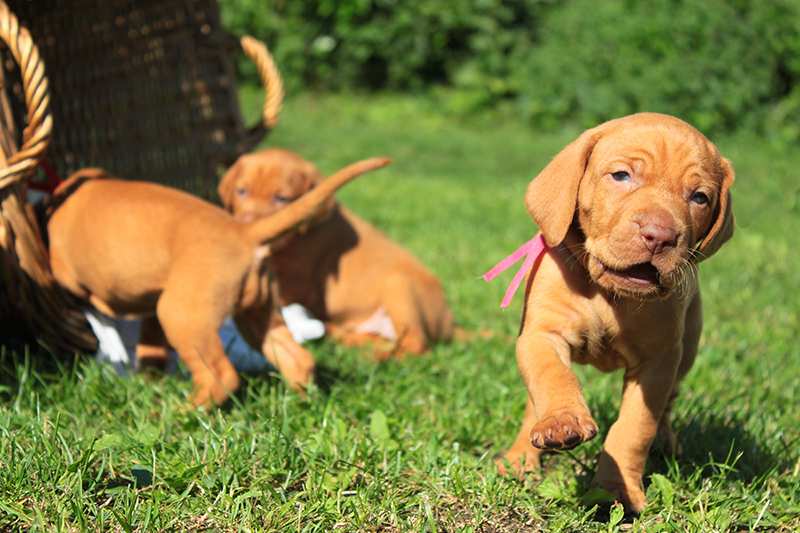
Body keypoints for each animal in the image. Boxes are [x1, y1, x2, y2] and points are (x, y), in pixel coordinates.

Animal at [47, 157, 390, 404]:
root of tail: (245, 232)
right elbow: (150, 346)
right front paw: (148, 377)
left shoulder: (68, 276)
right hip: (258, 314)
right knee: (296, 357)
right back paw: (304, 402)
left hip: (182, 315)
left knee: (221, 376)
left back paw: (185, 412)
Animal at [219, 148, 454, 358]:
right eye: (241, 191)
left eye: (282, 198)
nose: (246, 226)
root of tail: (450, 325)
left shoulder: (297, 282)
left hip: (399, 287)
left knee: (415, 346)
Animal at [496, 113, 736, 512]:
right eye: (621, 175)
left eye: (700, 197)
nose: (659, 235)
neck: (607, 295)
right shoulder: (542, 333)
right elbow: (551, 377)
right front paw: (562, 421)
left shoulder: (658, 361)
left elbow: (634, 428)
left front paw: (615, 489)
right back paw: (519, 458)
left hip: (687, 348)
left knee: (668, 404)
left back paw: (667, 443)